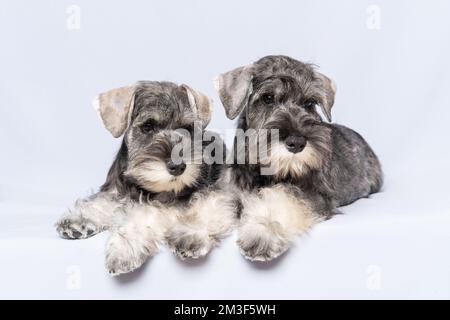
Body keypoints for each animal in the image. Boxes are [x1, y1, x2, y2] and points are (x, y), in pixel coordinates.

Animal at [55, 80, 236, 276]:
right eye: (148, 127)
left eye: (187, 128)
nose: (178, 167)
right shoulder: (116, 190)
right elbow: (102, 201)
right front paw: (77, 220)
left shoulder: (195, 198)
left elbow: (148, 214)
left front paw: (123, 248)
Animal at [214, 55, 384, 262]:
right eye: (268, 98)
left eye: (309, 103)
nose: (297, 142)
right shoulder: (229, 190)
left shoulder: (312, 196)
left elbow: (282, 201)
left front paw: (261, 233)